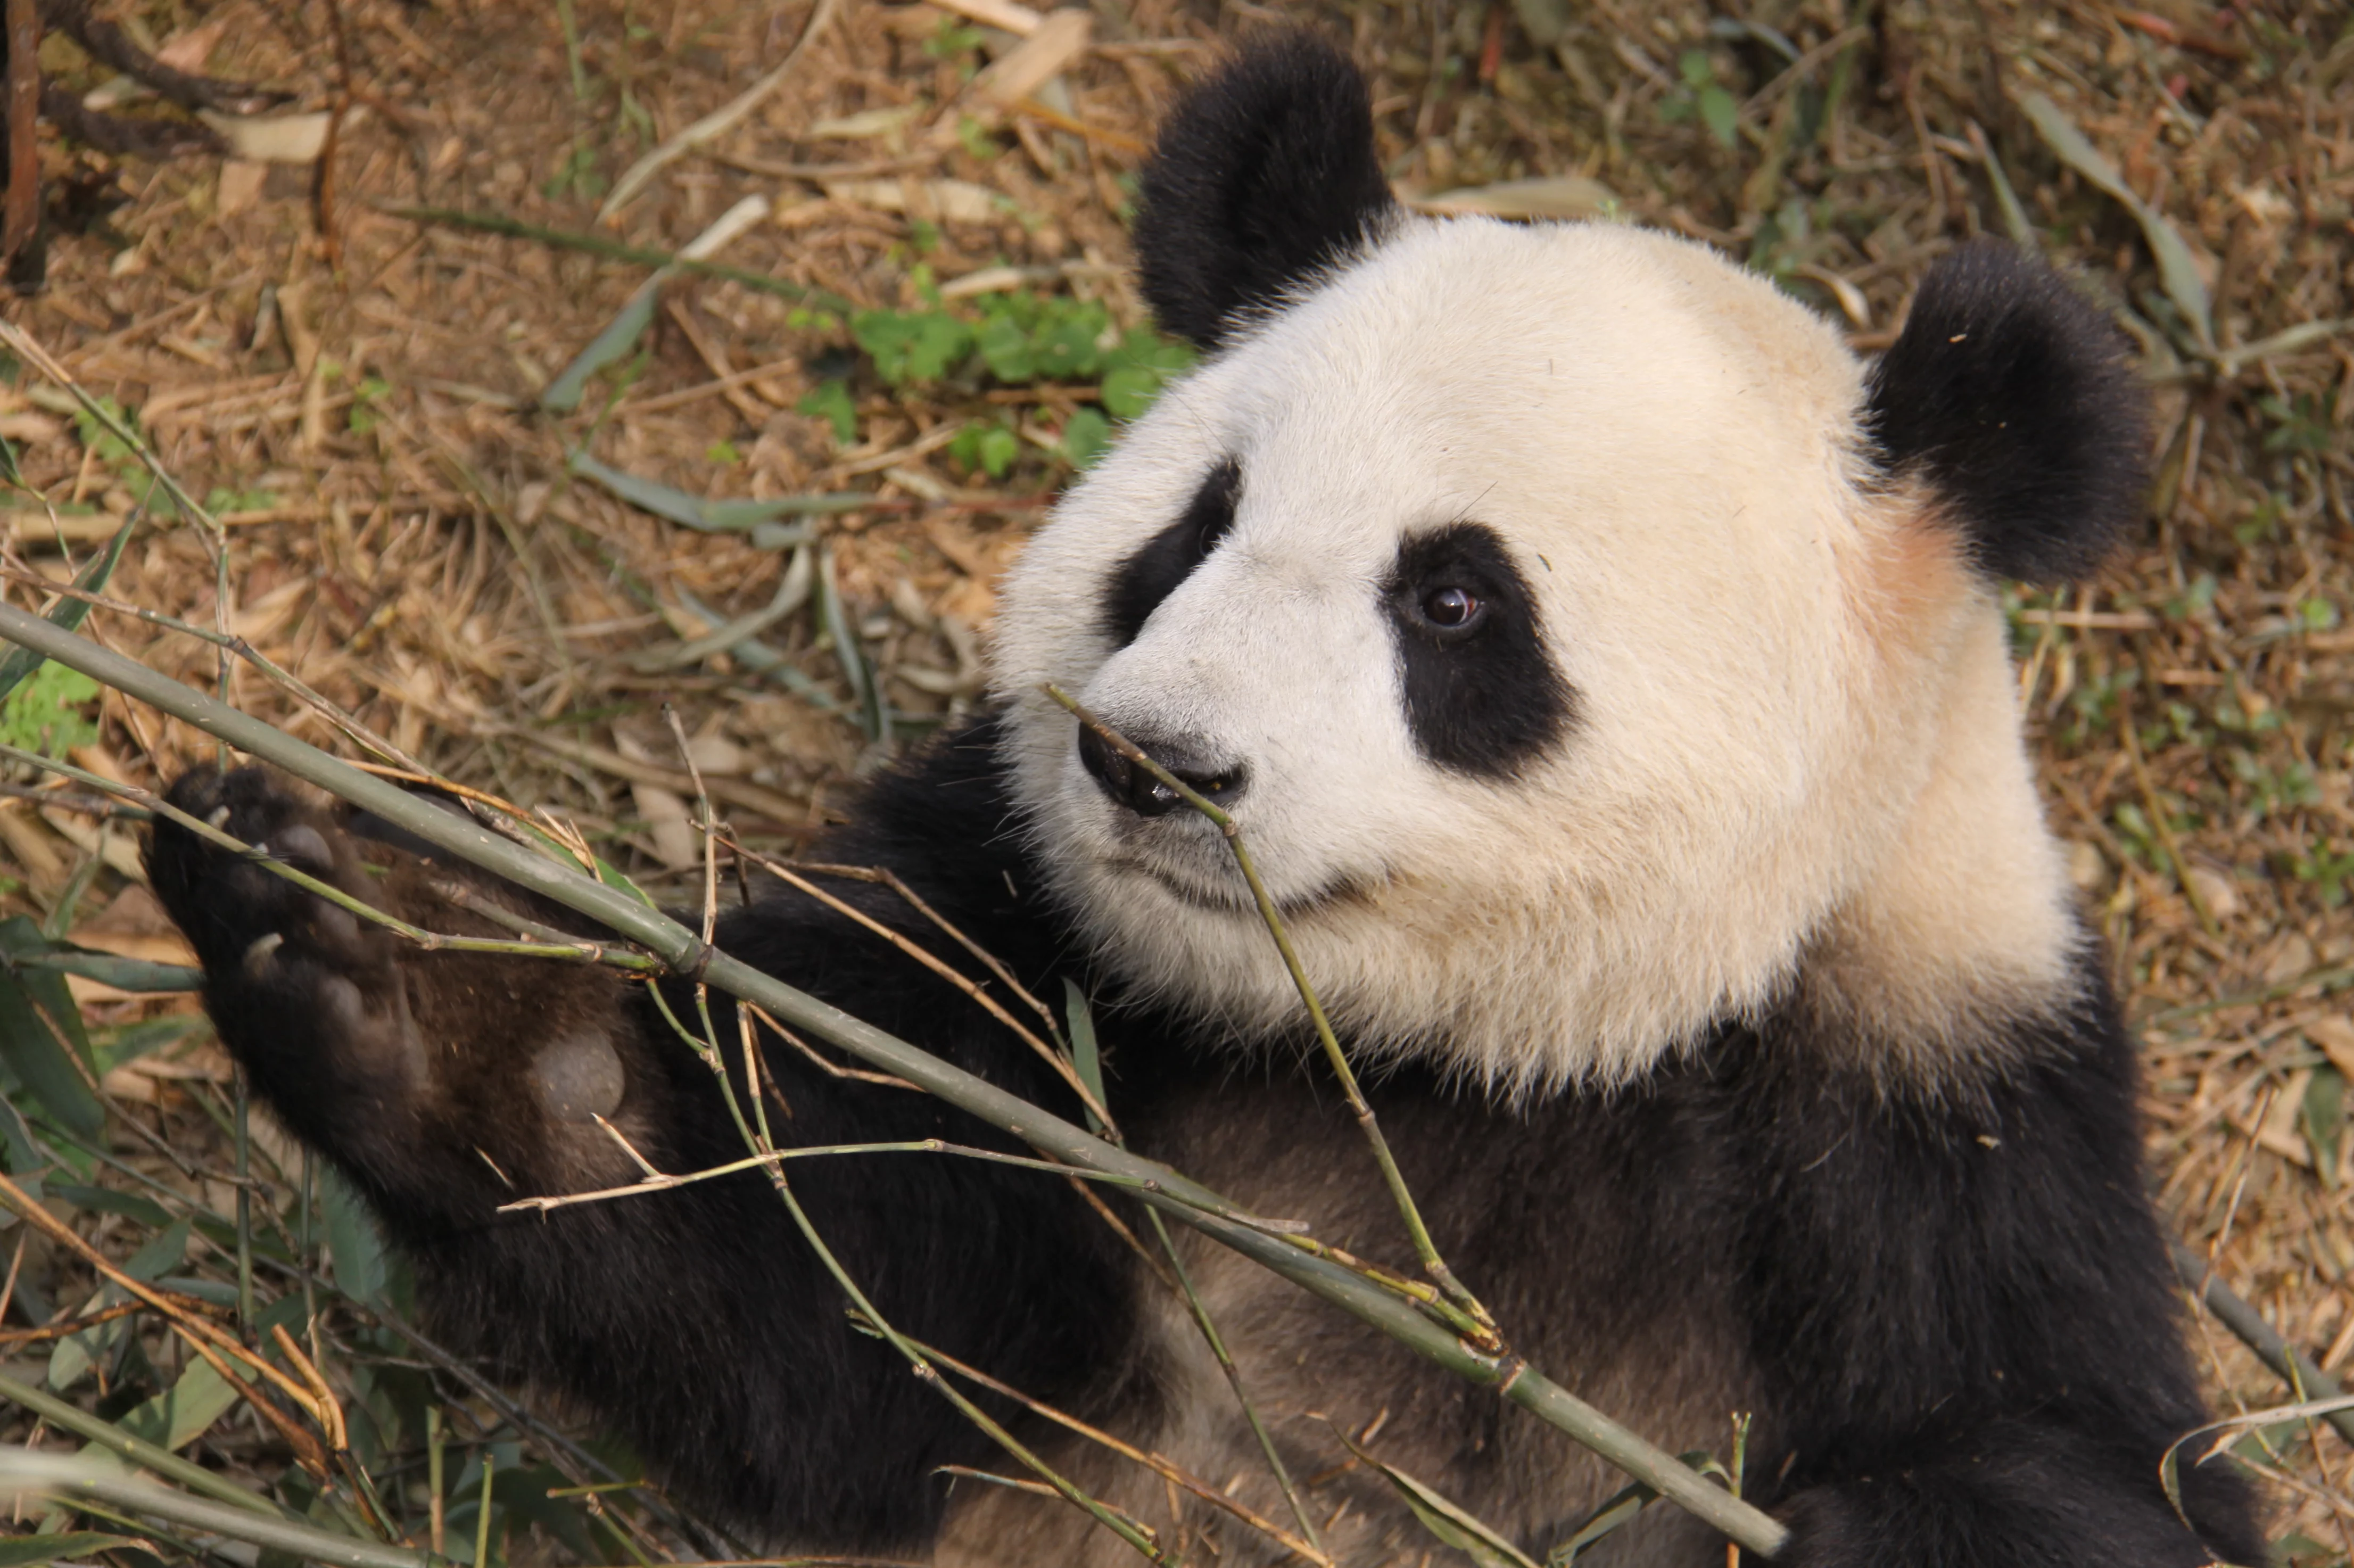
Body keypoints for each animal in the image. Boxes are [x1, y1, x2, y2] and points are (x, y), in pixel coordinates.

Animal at [147, 34, 2263, 1568]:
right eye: (1197, 526)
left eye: (1454, 599)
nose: (1154, 760)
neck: (1464, 1070)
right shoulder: (1017, 957)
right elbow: (832, 1323)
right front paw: (417, 987)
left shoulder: (1924, 1100)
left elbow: (2081, 1465)